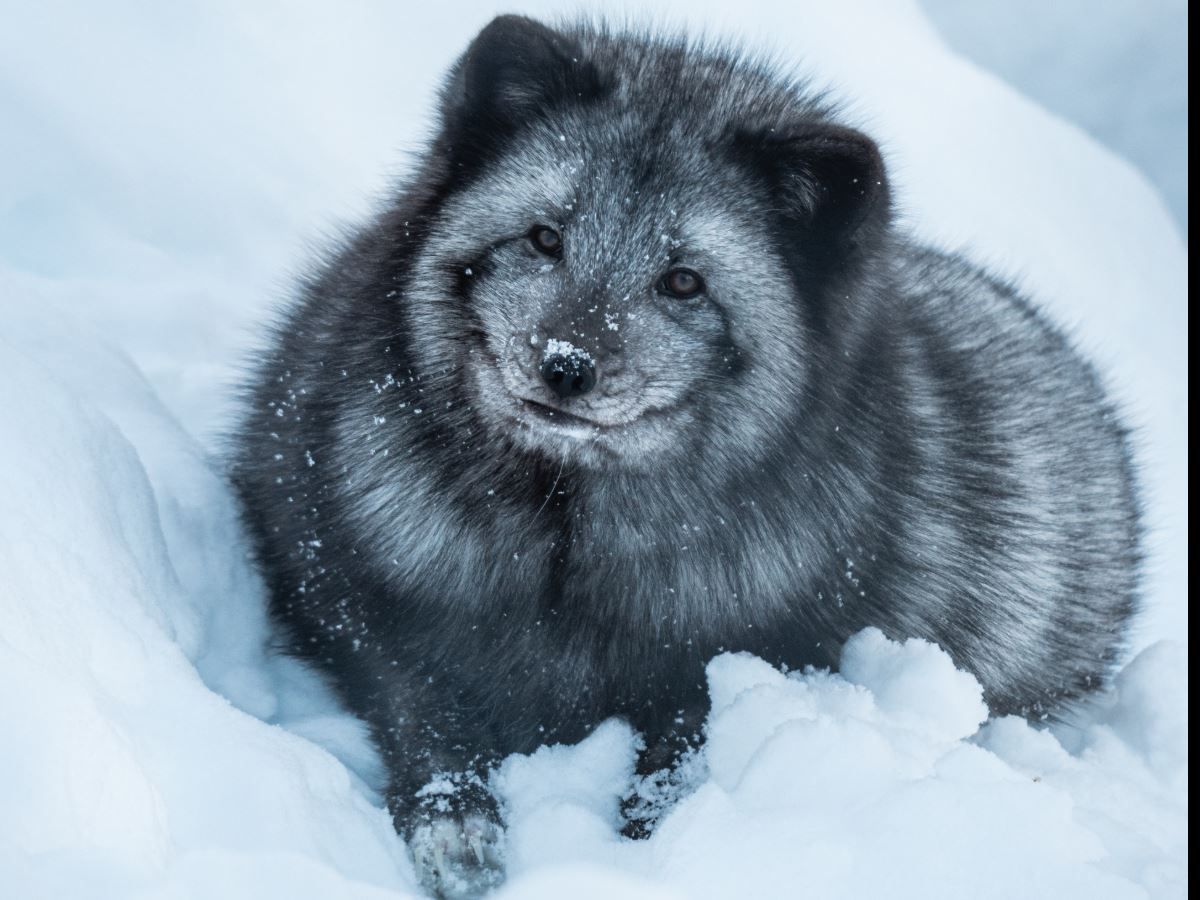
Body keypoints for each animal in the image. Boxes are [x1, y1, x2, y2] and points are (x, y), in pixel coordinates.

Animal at [232, 15, 1140, 897]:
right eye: (544, 238)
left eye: (682, 283)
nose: (566, 365)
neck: (561, 544)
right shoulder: (353, 598)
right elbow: (424, 715)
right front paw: (458, 830)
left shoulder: (754, 661)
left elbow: (675, 767)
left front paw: (640, 862)